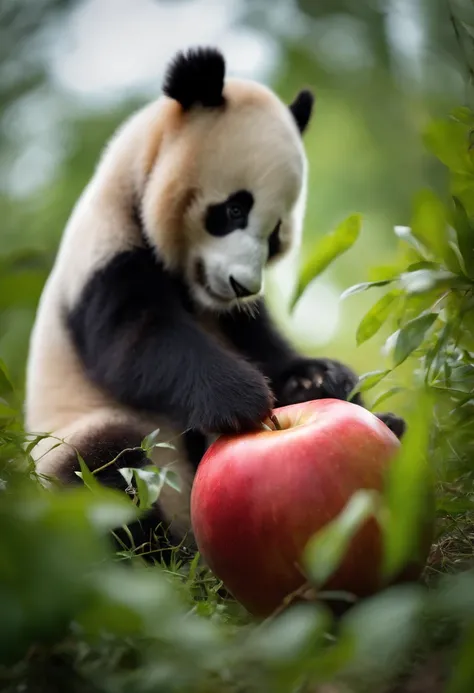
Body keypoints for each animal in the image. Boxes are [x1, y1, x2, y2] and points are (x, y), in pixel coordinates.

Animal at [24, 44, 406, 564]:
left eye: (276, 233)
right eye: (233, 210)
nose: (243, 285)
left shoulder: (232, 315)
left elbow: (266, 345)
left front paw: (318, 377)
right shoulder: (103, 261)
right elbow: (138, 344)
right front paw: (240, 396)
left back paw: (392, 423)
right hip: (78, 447)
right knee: (104, 469)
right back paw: (159, 556)